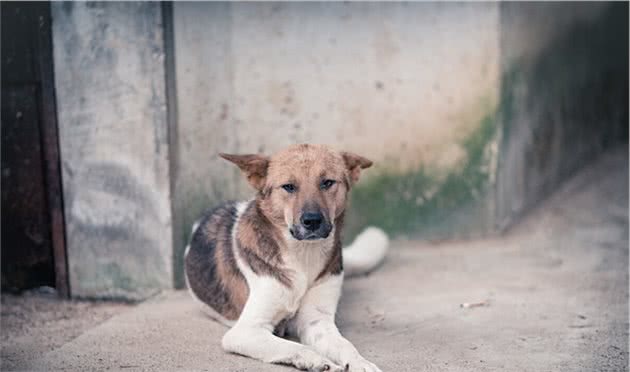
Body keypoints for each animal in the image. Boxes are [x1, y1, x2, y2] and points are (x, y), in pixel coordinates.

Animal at [185, 145, 388, 372]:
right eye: (289, 187)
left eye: (327, 182)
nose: (312, 221)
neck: (303, 255)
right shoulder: (245, 331)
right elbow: (293, 346)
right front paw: (315, 360)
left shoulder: (318, 323)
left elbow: (346, 346)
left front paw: (360, 363)